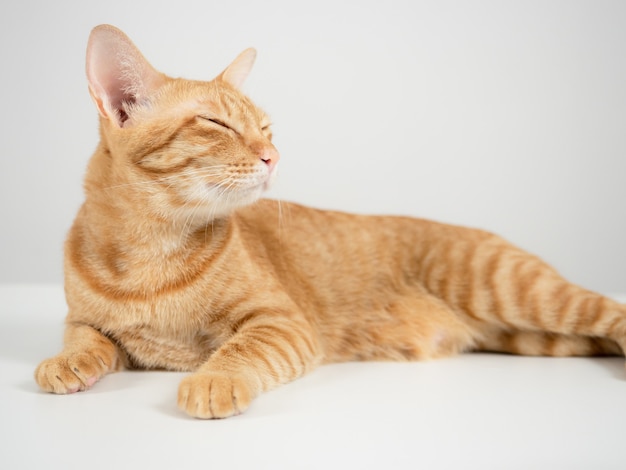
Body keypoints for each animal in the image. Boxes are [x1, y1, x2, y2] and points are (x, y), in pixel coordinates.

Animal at [35, 24, 624, 418]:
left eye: (267, 128)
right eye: (217, 124)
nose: (273, 156)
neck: (150, 251)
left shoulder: (281, 323)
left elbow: (237, 350)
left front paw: (213, 379)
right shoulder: (83, 318)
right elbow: (84, 337)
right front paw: (67, 361)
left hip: (522, 293)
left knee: (612, 311)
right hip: (536, 336)